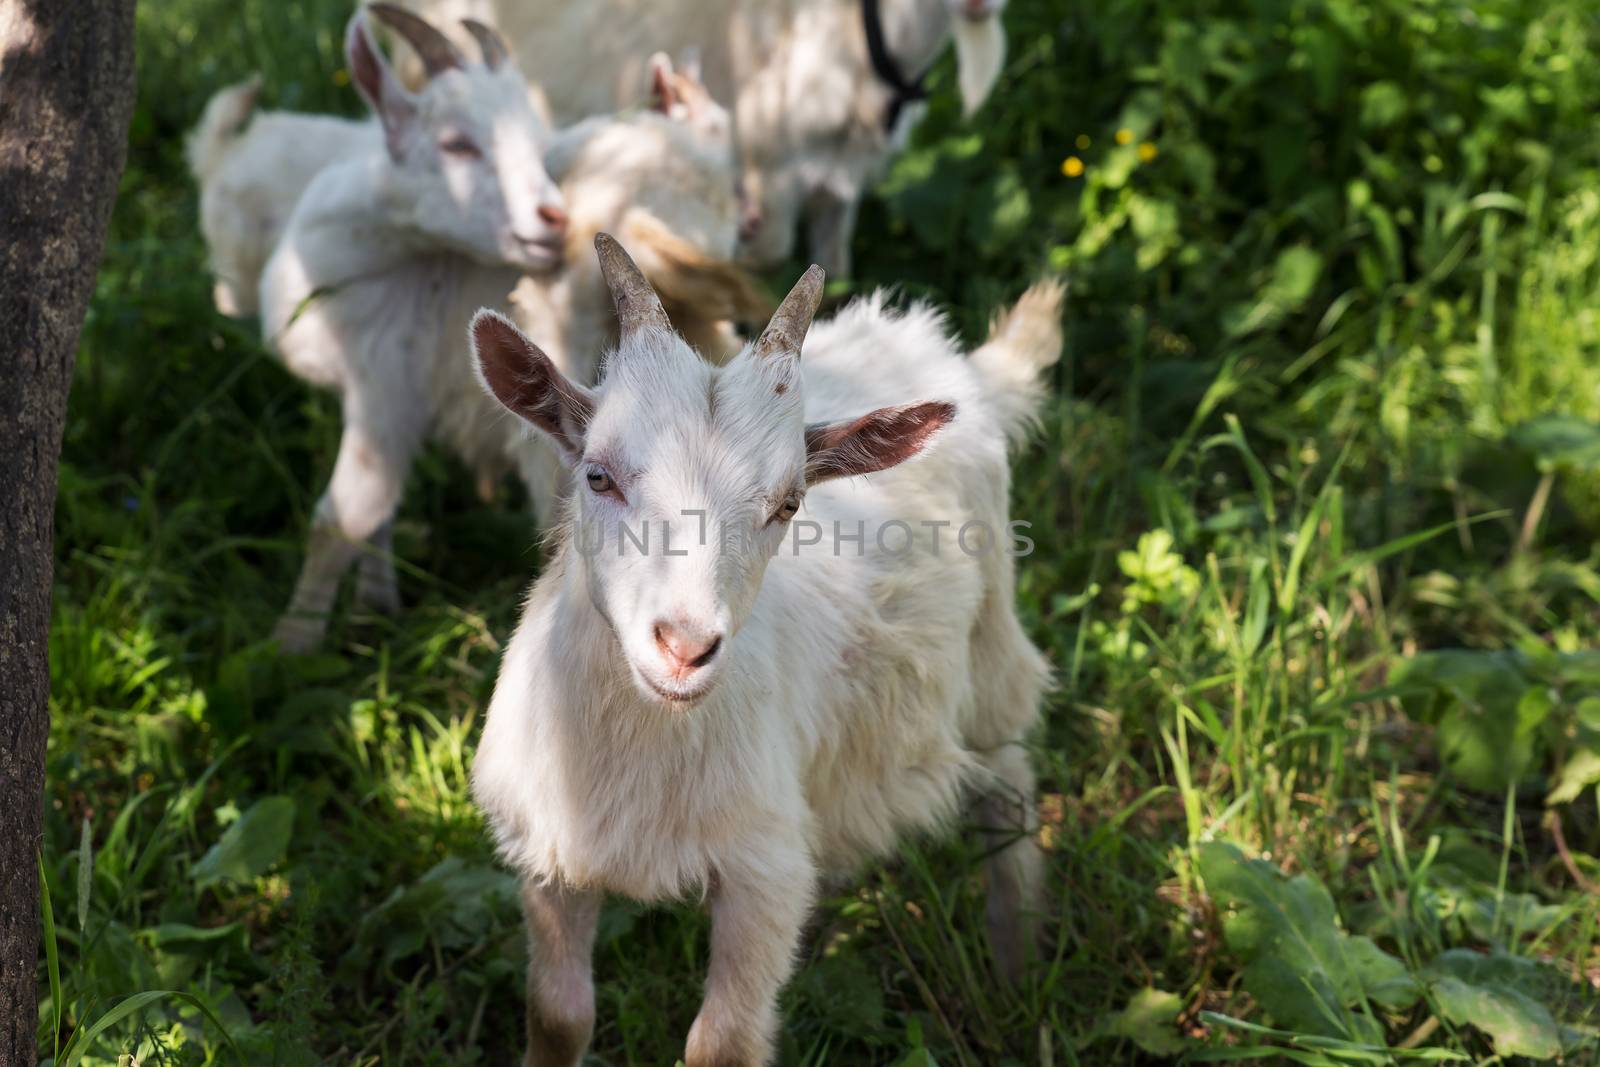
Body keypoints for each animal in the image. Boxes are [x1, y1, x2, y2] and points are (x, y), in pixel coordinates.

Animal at [467, 233, 1062, 1067]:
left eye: (789, 503)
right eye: (597, 474)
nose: (685, 647)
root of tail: (942, 353)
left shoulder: (764, 873)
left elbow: (723, 1043)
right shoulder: (551, 854)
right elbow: (557, 1015)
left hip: (990, 642)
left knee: (1006, 773)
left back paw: (1015, 965)